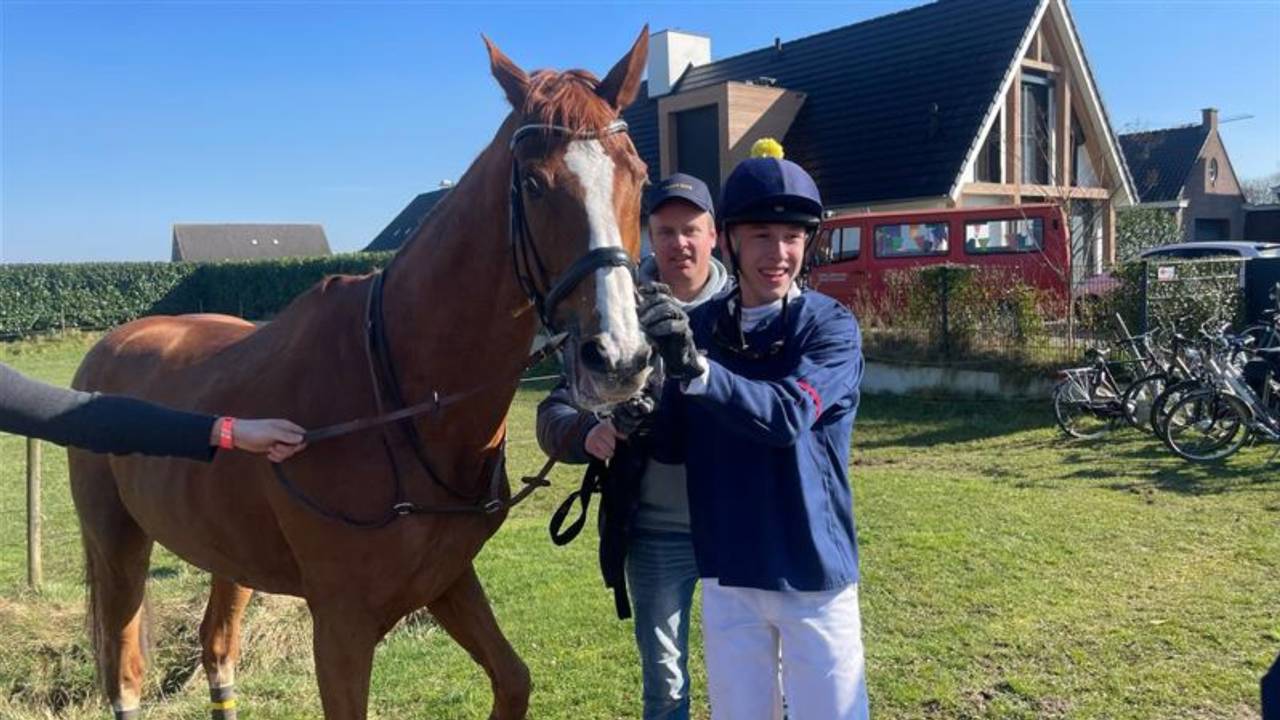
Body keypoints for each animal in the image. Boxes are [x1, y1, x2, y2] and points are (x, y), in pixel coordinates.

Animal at [67, 27, 652, 720]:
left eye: (640, 177)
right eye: (535, 184)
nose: (619, 358)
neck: (398, 396)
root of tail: (108, 348)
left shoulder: (448, 578)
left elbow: (513, 680)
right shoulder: (342, 624)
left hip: (225, 555)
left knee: (217, 648)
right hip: (117, 544)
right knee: (124, 671)